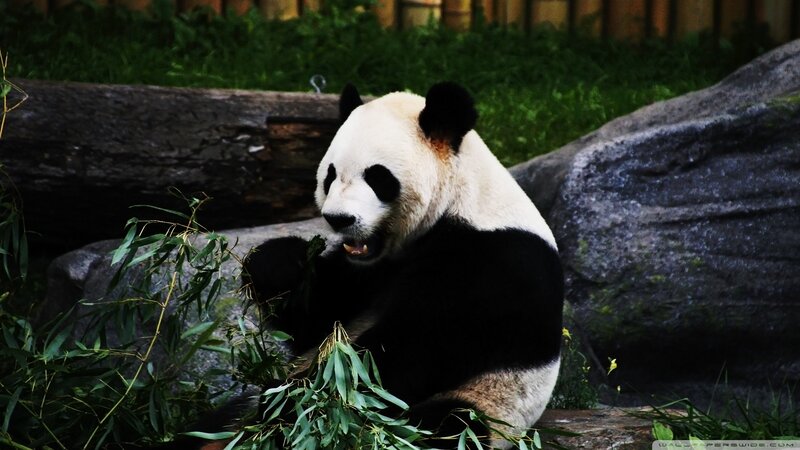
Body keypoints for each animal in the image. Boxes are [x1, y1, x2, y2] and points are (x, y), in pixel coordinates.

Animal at [238, 82, 564, 448]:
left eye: (378, 177)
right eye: (330, 175)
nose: (339, 219)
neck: (461, 201)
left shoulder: (493, 264)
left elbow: (407, 352)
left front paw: (300, 399)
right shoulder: (369, 270)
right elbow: (318, 318)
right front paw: (279, 262)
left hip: (493, 402)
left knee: (448, 425)